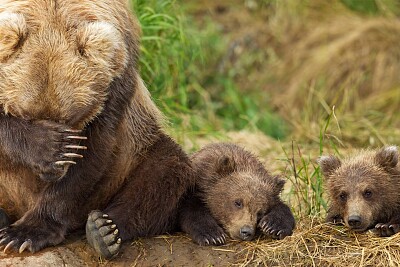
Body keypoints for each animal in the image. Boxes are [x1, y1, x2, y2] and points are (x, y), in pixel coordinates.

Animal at [0, 0, 195, 260]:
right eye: (25, 114)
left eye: (71, 117)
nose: (51, 174)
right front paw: (50, 146)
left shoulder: (116, 80)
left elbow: (95, 151)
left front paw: (25, 233)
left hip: (134, 155)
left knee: (165, 169)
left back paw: (103, 231)